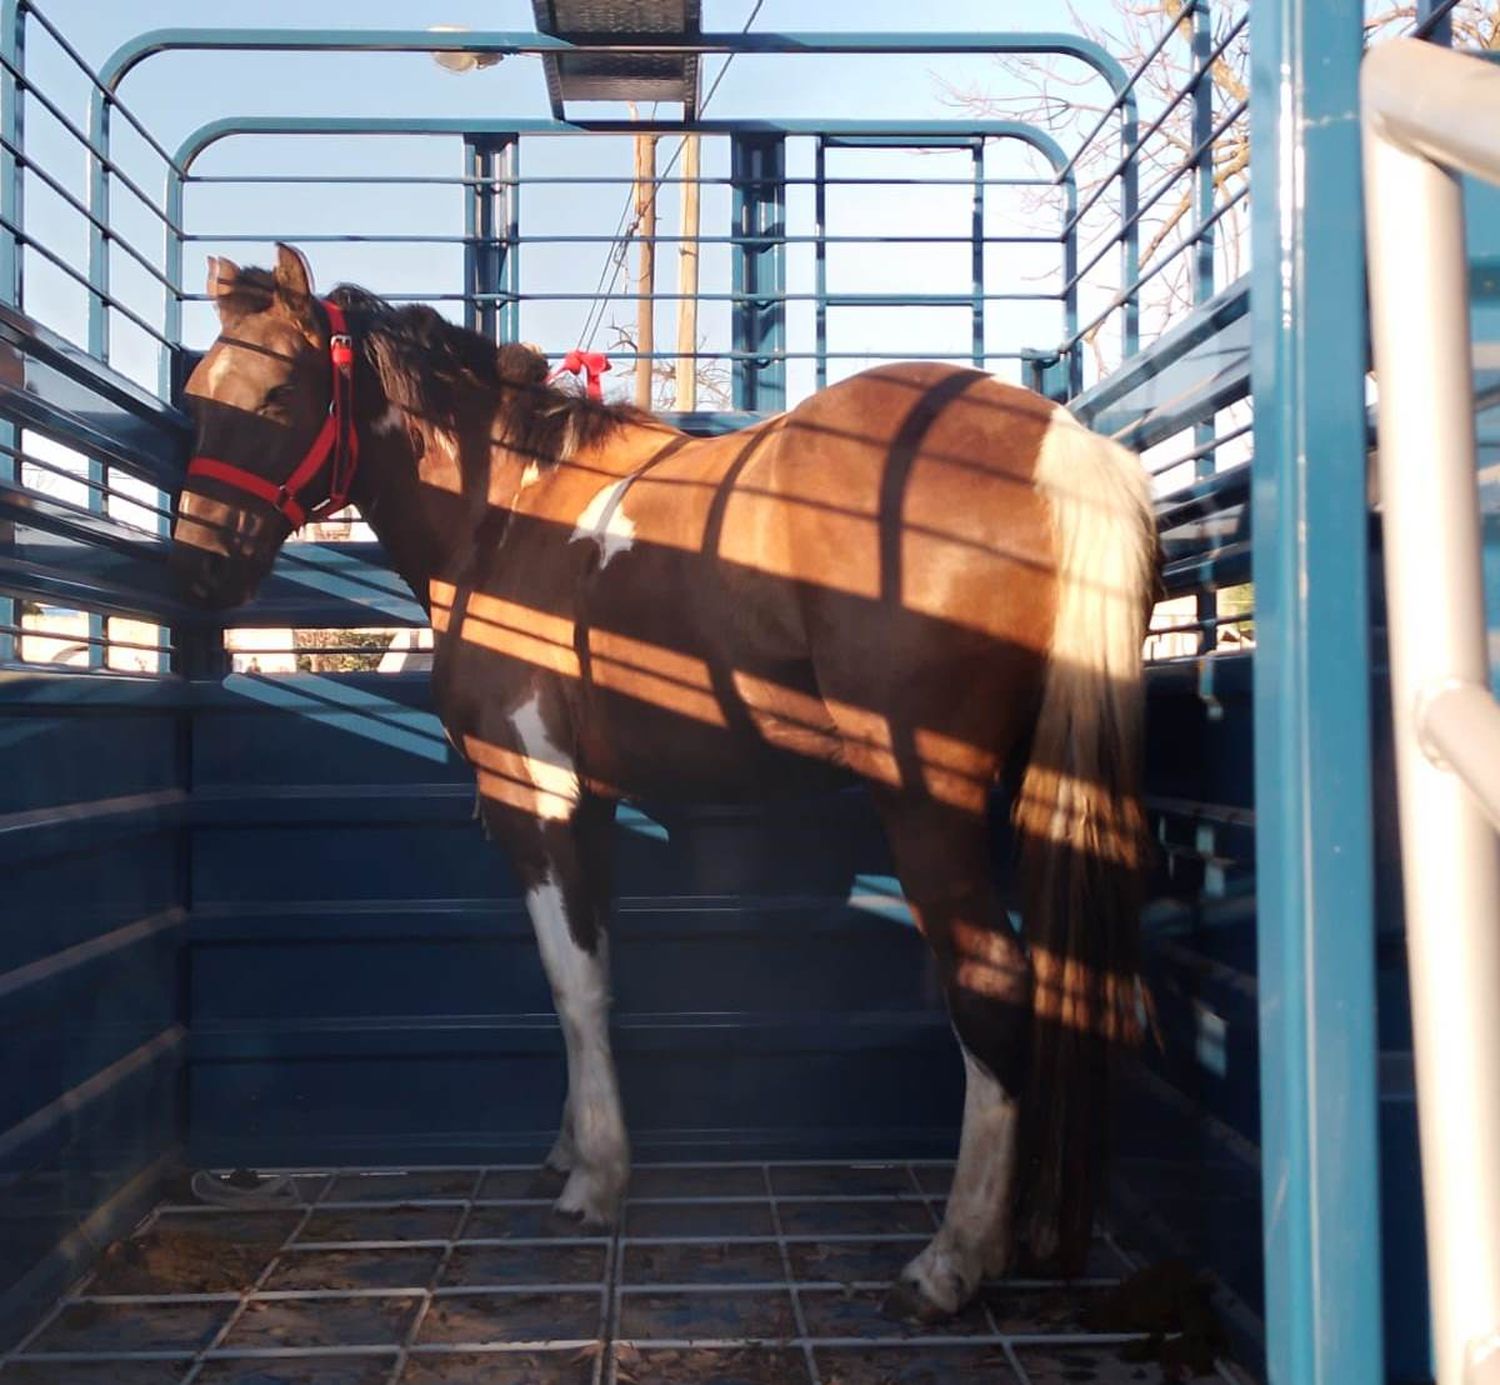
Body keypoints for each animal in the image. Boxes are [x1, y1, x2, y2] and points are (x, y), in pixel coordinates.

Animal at [170, 246, 1152, 1320]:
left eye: (278, 393)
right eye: (198, 392)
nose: (199, 570)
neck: (507, 514)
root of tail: (1055, 441)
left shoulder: (535, 795)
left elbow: (573, 983)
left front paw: (598, 1175)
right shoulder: (589, 804)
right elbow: (594, 968)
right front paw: (572, 1147)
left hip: (927, 804)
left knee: (992, 985)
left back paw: (954, 1256)